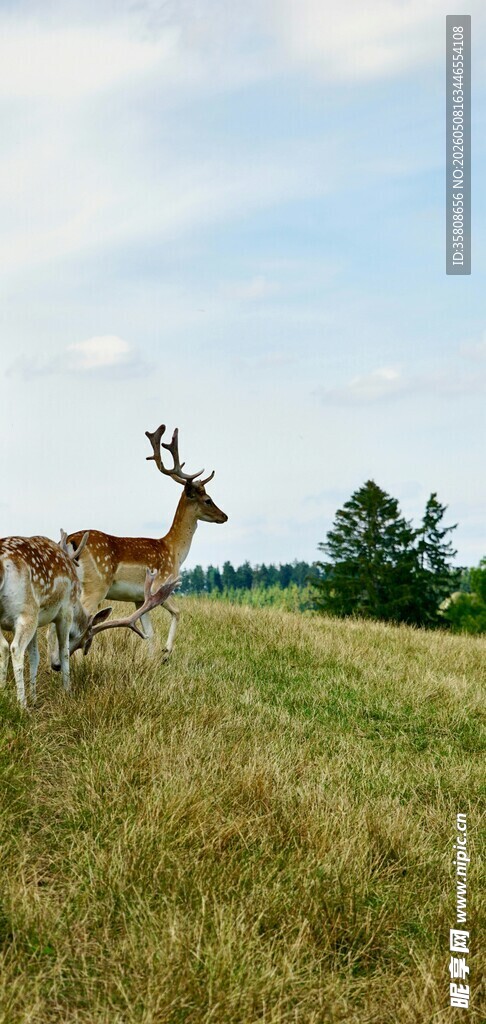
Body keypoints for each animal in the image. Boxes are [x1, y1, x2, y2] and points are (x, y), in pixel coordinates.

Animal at [0, 531, 179, 708]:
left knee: (4, 646)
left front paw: (35, 697)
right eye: (86, 642)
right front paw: (67, 691)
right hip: (27, 611)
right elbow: (64, 651)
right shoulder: (65, 611)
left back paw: (4, 693)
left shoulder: (40, 621)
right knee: (15, 648)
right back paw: (22, 705)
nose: (56, 666)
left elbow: (34, 656)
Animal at [66, 425, 228, 658]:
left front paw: (153, 659)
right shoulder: (161, 584)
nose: (225, 516)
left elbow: (148, 633)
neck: (174, 551)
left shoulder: (139, 598)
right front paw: (166, 653)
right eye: (208, 499)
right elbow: (178, 612)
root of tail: (71, 540)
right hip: (96, 585)